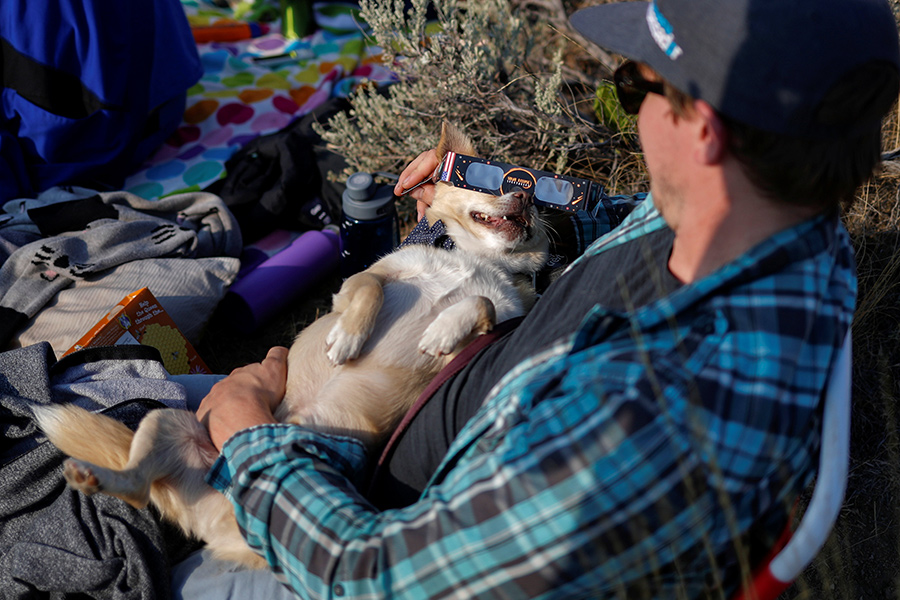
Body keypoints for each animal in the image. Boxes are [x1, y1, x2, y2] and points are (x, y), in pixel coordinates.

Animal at [35, 122, 548, 568]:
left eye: (540, 207)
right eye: (493, 185)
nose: (525, 195)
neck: (475, 259)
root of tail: (219, 517)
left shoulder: (494, 324)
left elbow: (479, 300)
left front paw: (442, 329)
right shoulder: (363, 281)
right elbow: (370, 289)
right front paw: (348, 338)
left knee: (147, 493)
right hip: (167, 420)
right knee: (137, 482)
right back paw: (94, 476)